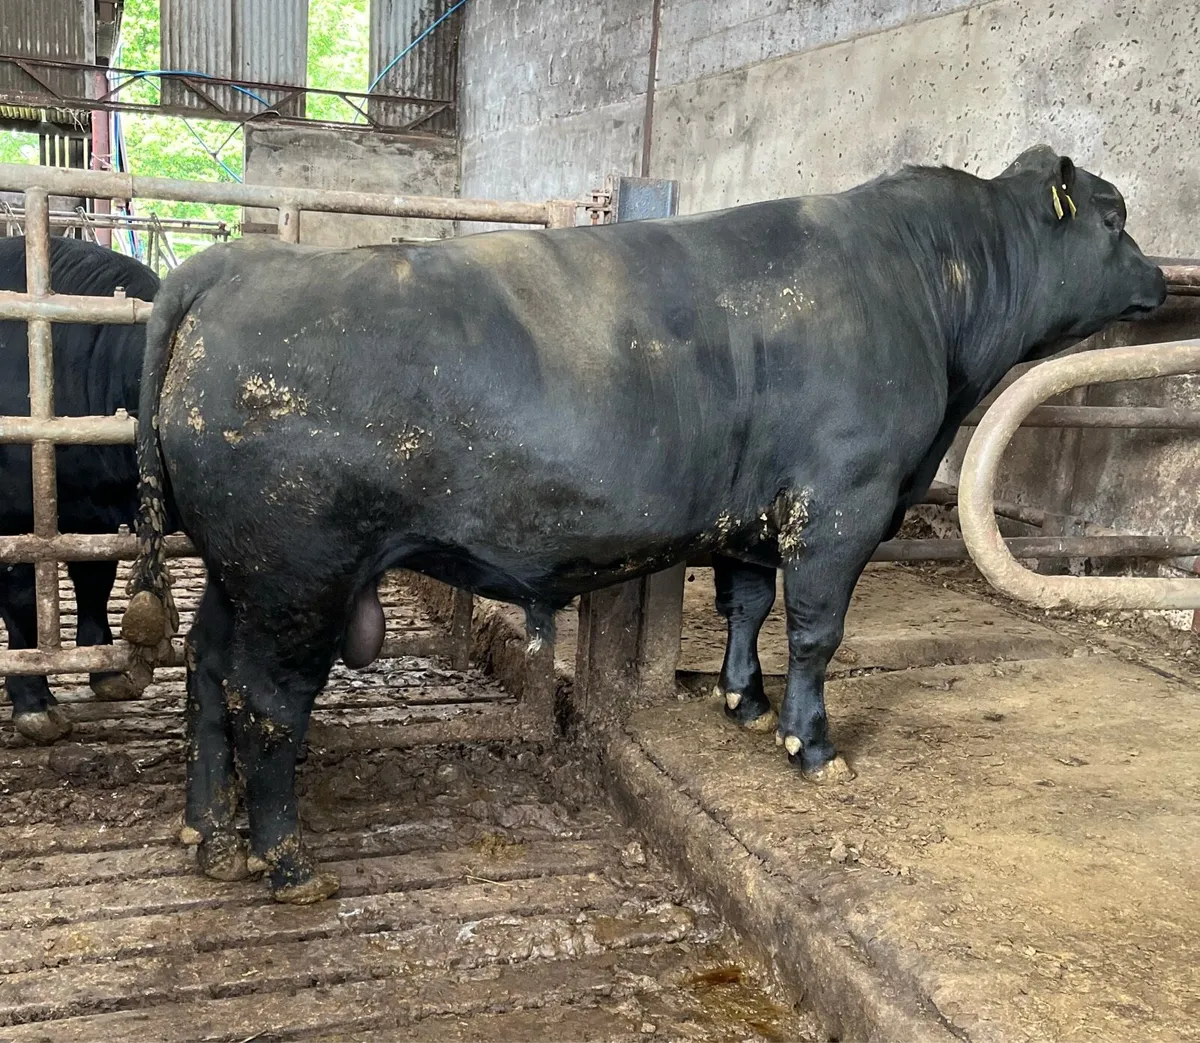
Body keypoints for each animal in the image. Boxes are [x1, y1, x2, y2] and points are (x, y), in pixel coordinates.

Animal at [121, 145, 1165, 903]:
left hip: (237, 570)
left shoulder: (754, 513)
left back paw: (207, 835)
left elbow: (747, 604)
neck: (927, 286)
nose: (1160, 278)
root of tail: (234, 262)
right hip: (296, 570)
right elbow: (817, 630)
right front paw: (811, 746)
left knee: (204, 672)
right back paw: (285, 861)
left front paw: (742, 701)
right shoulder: (844, 501)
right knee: (266, 698)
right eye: (1115, 216)